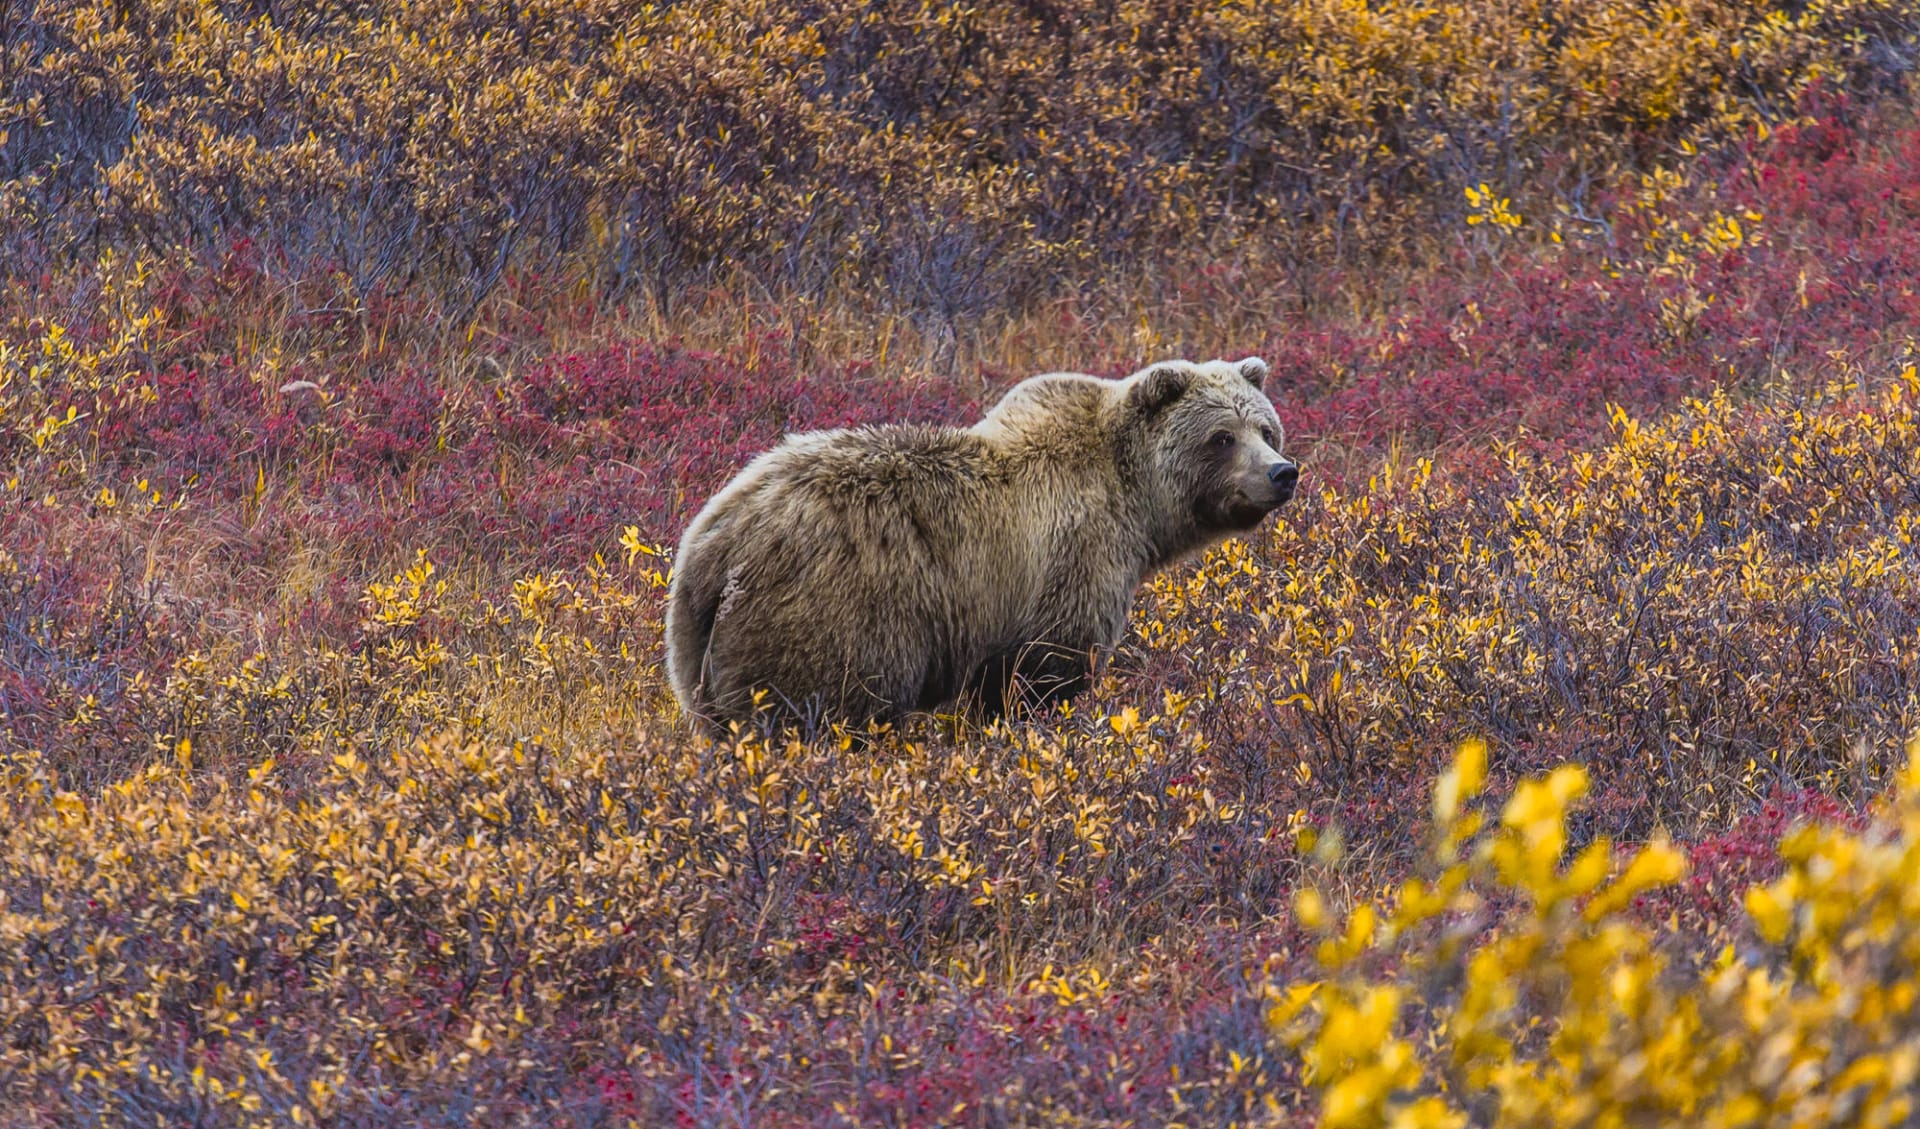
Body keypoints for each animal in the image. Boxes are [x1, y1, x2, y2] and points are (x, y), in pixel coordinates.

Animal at [664, 357, 1305, 737]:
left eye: (1266, 428)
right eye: (1221, 437)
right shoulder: (1069, 561)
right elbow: (1041, 672)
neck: (1136, 502)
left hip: (696, 652)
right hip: (830, 616)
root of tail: (715, 546)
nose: (1282, 472)